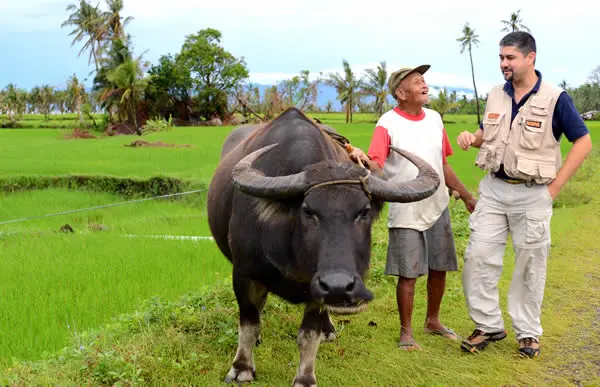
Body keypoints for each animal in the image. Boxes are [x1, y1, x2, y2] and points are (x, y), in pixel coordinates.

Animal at [207, 107, 440, 386]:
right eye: (308, 212)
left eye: (364, 212)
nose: (339, 285)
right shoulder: (243, 274)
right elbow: (249, 323)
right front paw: (241, 368)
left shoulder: (316, 287)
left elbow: (309, 334)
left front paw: (305, 377)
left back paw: (329, 330)